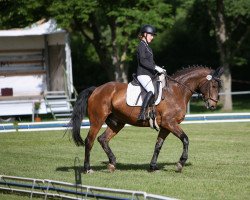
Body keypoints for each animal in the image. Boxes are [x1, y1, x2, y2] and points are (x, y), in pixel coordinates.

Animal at [69, 66, 224, 173]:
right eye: (214, 85)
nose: (212, 105)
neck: (176, 91)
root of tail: (96, 89)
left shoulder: (165, 126)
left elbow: (158, 145)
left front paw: (153, 166)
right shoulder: (170, 123)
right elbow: (185, 139)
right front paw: (180, 163)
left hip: (117, 123)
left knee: (103, 139)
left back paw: (112, 163)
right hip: (97, 120)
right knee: (90, 141)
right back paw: (87, 168)